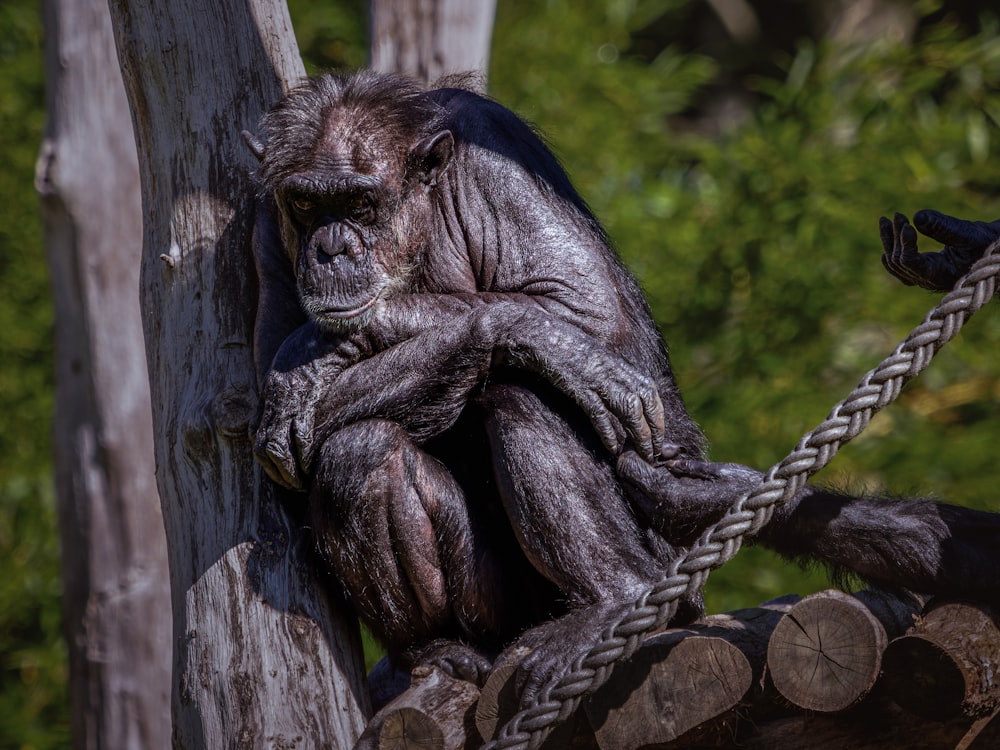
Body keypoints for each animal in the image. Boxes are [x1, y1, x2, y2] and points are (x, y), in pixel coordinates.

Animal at [246, 73, 1000, 704]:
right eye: (307, 204)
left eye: (360, 203)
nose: (331, 248)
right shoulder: (261, 227)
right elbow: (275, 426)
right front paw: (309, 363)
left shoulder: (497, 164)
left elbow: (585, 314)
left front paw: (319, 351)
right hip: (498, 615)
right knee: (362, 454)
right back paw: (439, 653)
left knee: (527, 389)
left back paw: (614, 603)